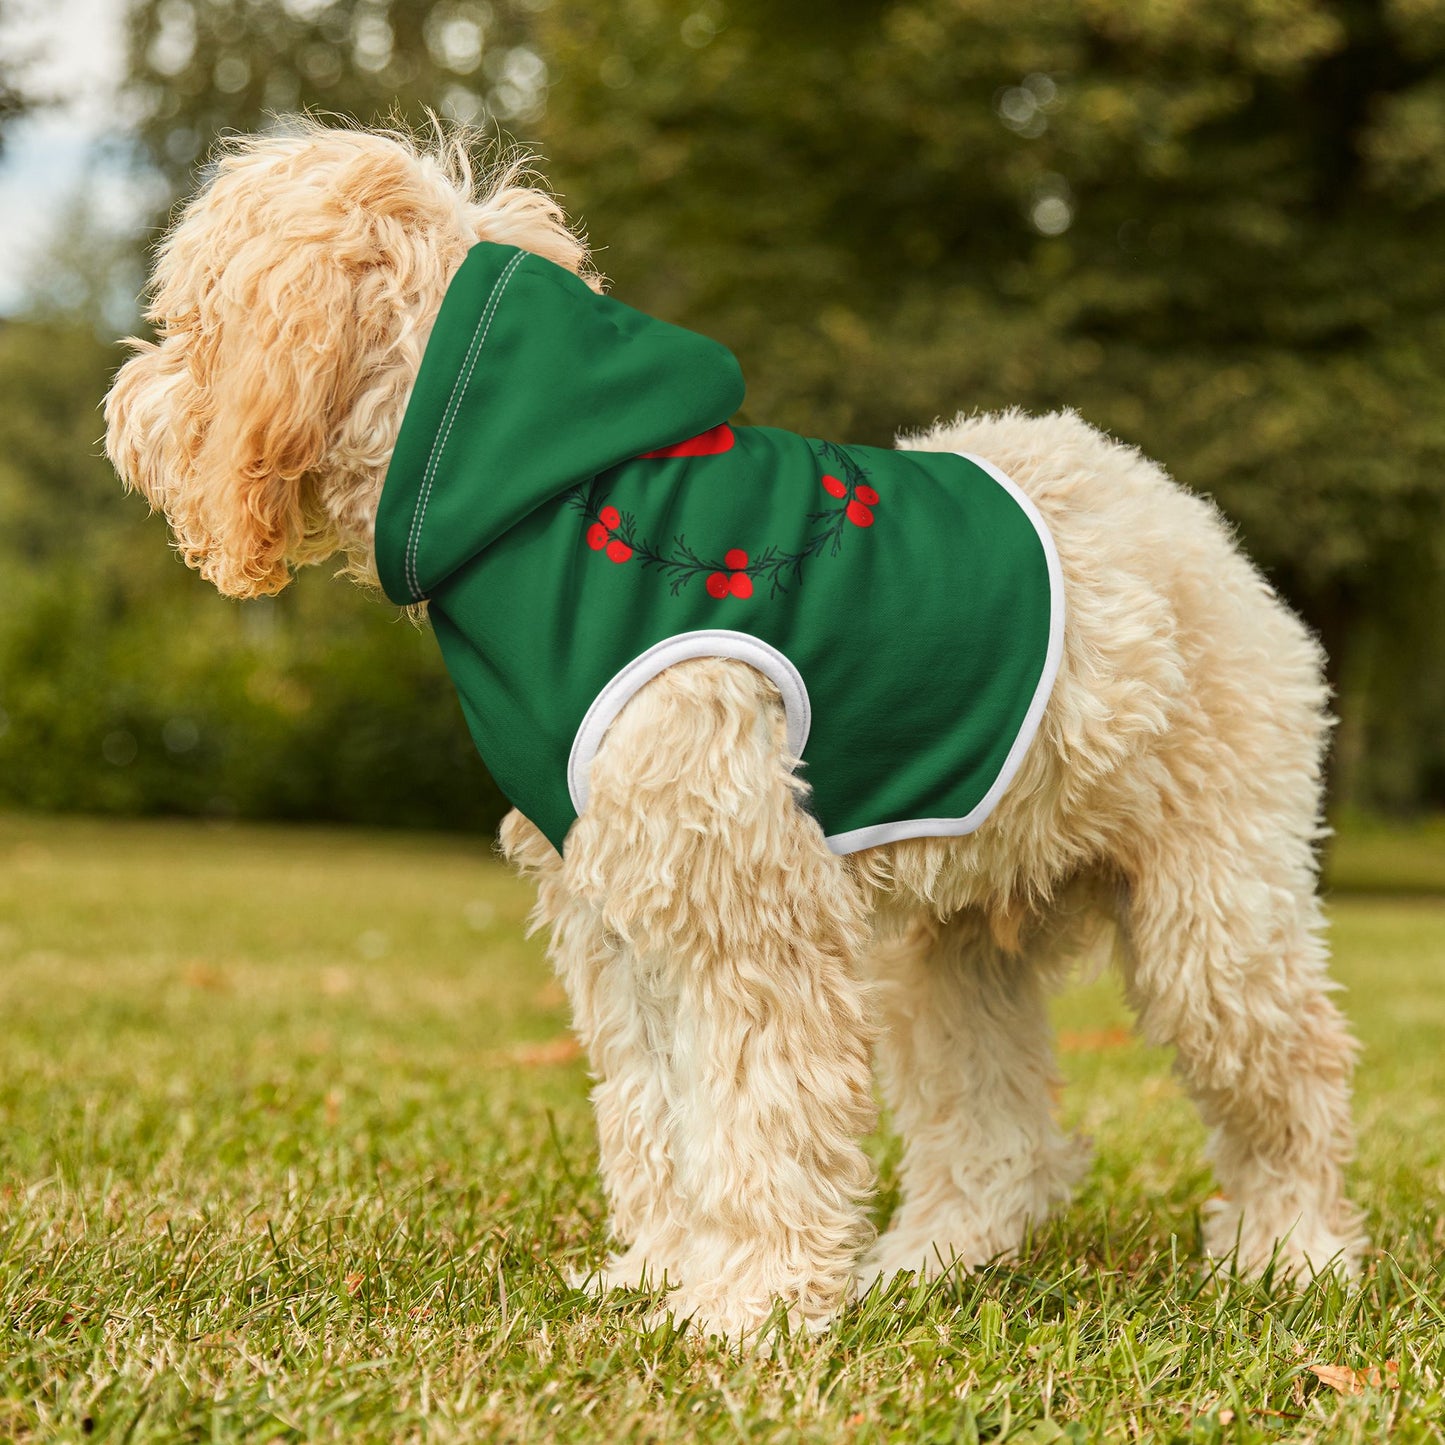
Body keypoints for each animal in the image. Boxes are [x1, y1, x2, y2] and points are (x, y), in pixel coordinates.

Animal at [104, 124, 1364, 1340]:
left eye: (190, 318)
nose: (123, 409)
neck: (536, 498)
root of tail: (1185, 518)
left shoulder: (743, 904)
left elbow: (758, 1112)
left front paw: (747, 1305)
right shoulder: (618, 910)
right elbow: (656, 1111)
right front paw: (662, 1273)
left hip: (1212, 915)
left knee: (1293, 1076)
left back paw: (1290, 1252)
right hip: (950, 949)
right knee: (996, 1134)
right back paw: (928, 1261)